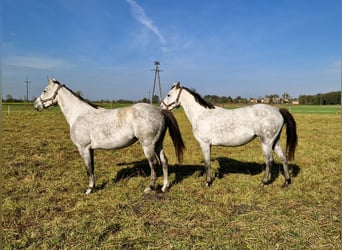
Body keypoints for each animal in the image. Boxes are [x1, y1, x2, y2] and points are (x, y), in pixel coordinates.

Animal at [160, 82, 296, 188]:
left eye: (169, 95)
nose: (161, 107)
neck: (201, 114)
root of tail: (278, 110)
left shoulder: (204, 143)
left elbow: (207, 163)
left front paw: (207, 182)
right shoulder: (208, 145)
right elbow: (208, 162)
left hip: (266, 141)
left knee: (269, 160)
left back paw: (263, 182)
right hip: (275, 141)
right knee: (283, 158)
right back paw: (286, 182)